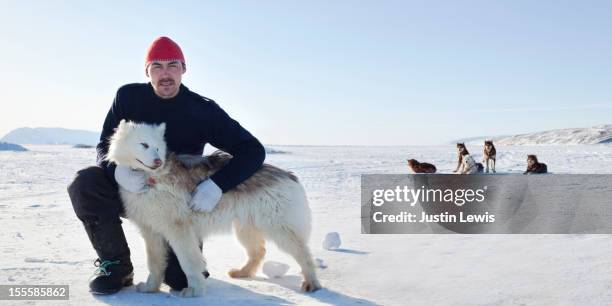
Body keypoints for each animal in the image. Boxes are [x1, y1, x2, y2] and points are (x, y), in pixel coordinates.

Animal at [104, 119, 320, 296]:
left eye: (158, 148)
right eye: (144, 145)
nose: (158, 161)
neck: (151, 178)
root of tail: (288, 175)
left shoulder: (179, 230)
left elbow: (189, 262)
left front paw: (195, 290)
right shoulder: (151, 231)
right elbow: (155, 263)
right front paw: (151, 288)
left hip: (280, 229)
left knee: (304, 254)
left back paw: (311, 282)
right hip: (245, 229)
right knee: (258, 252)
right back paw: (243, 272)